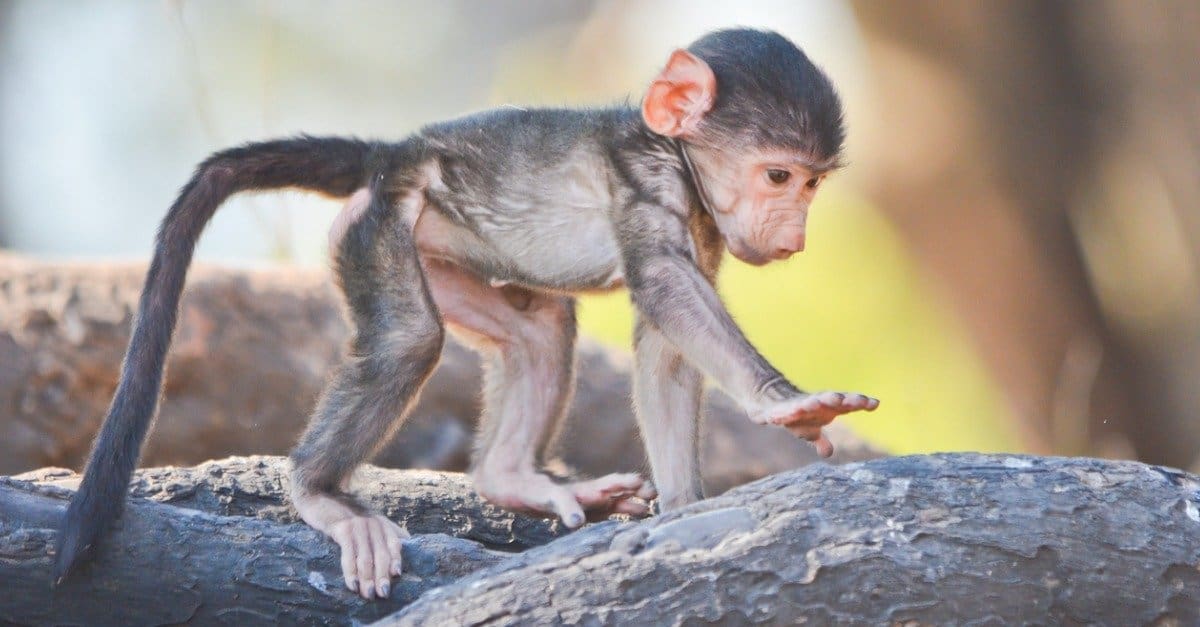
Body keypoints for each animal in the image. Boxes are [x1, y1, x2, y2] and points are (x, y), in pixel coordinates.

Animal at [54, 28, 879, 599]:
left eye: (811, 183)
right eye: (778, 176)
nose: (796, 235)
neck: (674, 153)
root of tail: (392, 154)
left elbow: (666, 343)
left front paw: (683, 508)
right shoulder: (649, 186)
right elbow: (666, 291)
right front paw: (789, 403)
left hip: (440, 247)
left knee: (541, 327)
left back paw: (509, 478)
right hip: (380, 225)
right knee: (412, 339)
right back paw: (320, 493)